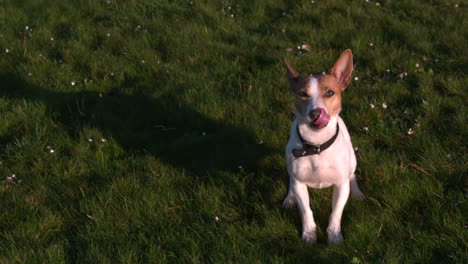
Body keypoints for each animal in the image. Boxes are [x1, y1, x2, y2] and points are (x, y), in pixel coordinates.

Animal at [282, 50, 366, 245]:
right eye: (302, 94)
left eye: (330, 92)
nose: (316, 113)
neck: (317, 145)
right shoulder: (300, 183)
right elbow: (306, 210)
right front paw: (309, 234)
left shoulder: (341, 185)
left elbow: (336, 212)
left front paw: (334, 236)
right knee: (290, 180)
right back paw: (289, 198)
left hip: (353, 160)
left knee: (352, 175)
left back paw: (357, 193)